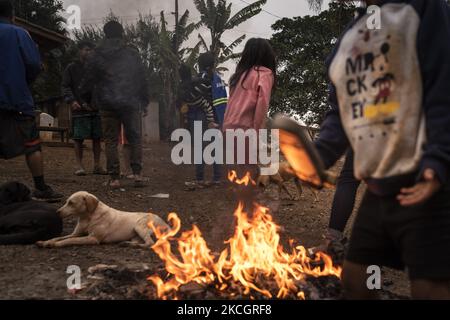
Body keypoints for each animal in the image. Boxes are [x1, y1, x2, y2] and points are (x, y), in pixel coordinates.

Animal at [36, 191, 170, 249]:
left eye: (71, 203)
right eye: (66, 202)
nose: (57, 212)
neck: (87, 217)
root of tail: (165, 222)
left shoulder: (92, 239)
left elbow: (69, 240)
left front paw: (55, 244)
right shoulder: (76, 233)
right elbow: (59, 237)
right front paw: (46, 241)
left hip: (139, 226)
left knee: (150, 243)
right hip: (135, 234)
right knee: (140, 241)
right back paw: (126, 244)